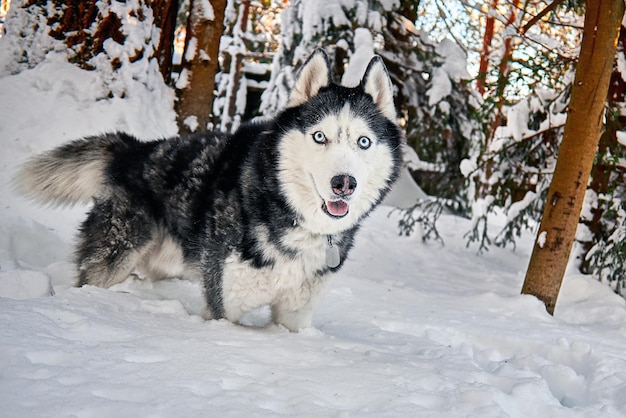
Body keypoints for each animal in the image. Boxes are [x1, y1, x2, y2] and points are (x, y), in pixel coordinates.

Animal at [18, 49, 404, 330]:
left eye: (364, 142)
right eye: (319, 136)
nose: (344, 183)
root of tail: (135, 149)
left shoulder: (294, 316)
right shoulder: (224, 308)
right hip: (114, 257)